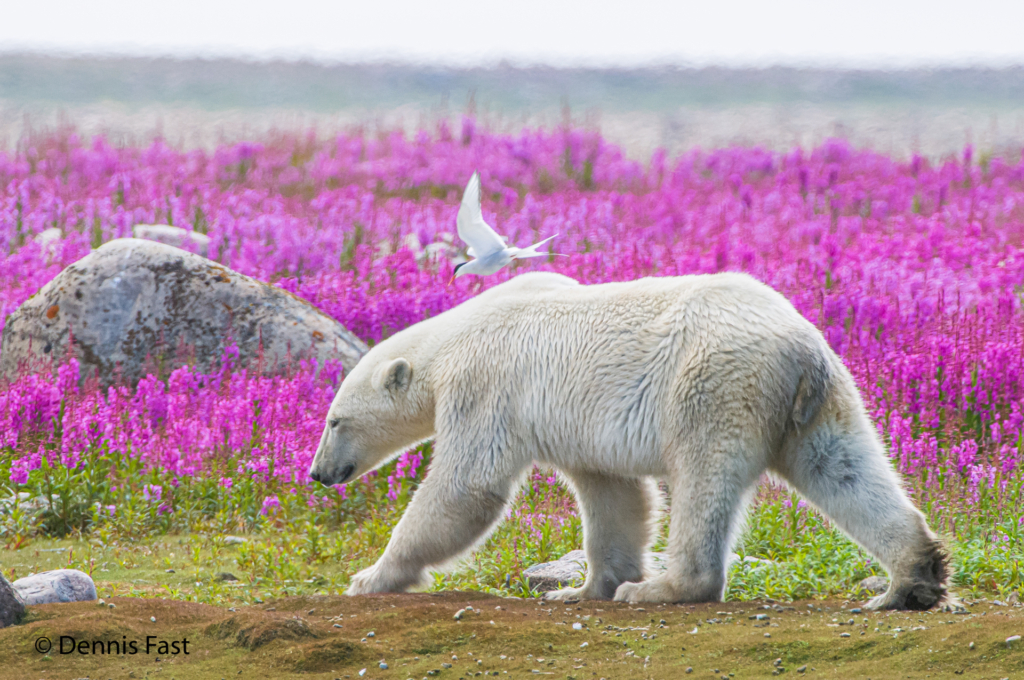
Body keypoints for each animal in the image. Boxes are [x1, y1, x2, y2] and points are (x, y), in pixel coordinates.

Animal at [307, 272, 946, 610]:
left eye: (335, 421)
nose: (317, 473)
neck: (453, 336)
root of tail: (800, 349)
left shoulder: (485, 388)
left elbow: (466, 487)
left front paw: (370, 577)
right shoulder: (578, 423)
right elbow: (615, 495)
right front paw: (579, 590)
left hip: (715, 384)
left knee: (703, 479)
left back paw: (660, 588)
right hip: (820, 402)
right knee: (845, 469)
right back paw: (910, 579)